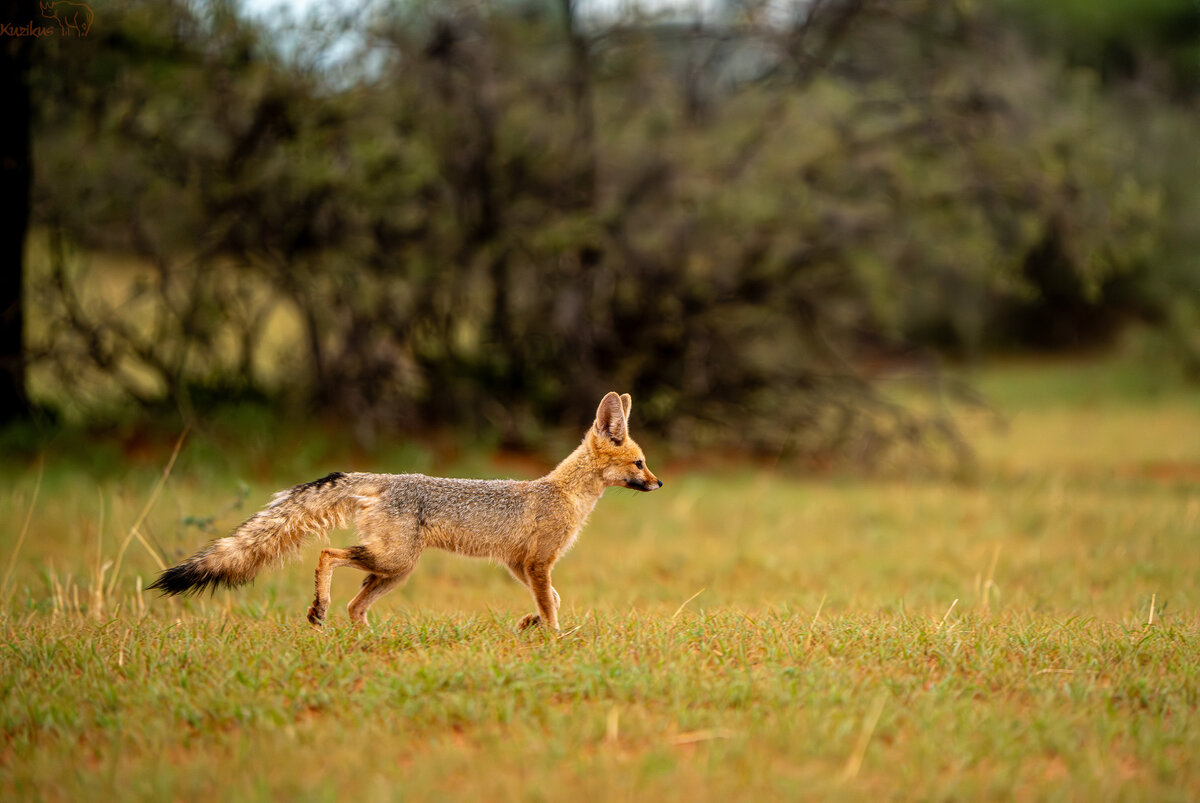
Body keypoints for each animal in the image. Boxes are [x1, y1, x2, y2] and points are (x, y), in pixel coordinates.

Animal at [150, 392, 662, 631]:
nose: (659, 483)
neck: (564, 493)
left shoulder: (519, 563)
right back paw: (319, 608)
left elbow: (550, 597)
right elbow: (552, 602)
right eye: (640, 463)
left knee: (356, 605)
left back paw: (364, 637)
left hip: (395, 572)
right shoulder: (536, 563)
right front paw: (554, 637)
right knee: (328, 556)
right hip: (395, 562)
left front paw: (530, 624)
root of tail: (385, 477)